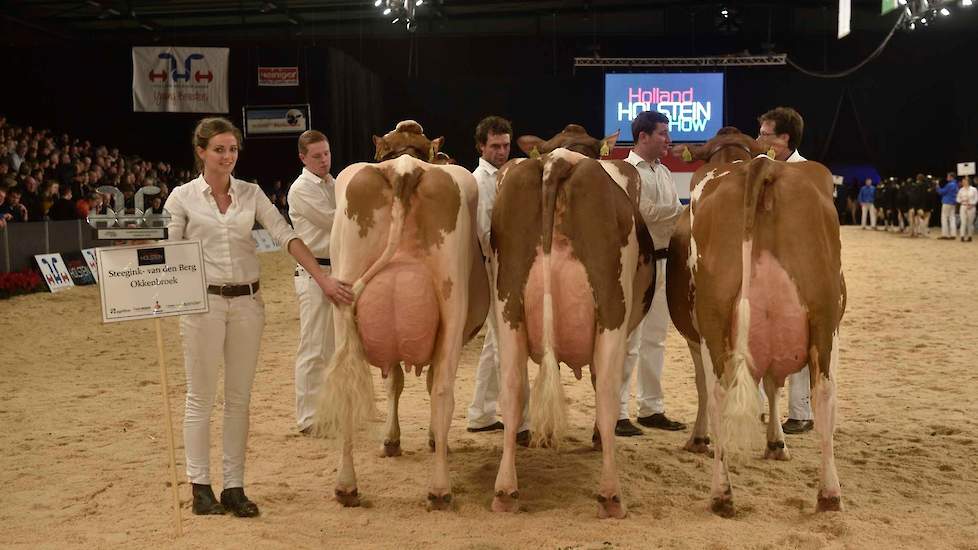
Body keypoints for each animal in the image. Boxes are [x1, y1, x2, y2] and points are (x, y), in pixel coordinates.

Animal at [314, 123, 488, 512]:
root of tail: (404, 168)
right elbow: (411, 382)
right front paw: (423, 439)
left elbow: (393, 381)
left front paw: (393, 440)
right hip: (452, 306)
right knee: (442, 389)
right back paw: (439, 489)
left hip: (342, 299)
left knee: (348, 386)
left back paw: (346, 486)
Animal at [486, 125, 652, 520]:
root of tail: (557, 160)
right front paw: (597, 438)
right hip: (611, 308)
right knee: (606, 390)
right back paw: (611, 496)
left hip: (507, 307)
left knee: (512, 389)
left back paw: (505, 490)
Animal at [668, 128, 844, 516]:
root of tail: (762, 166)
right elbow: (773, 385)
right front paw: (776, 443)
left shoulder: (696, 336)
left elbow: (703, 386)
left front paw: (699, 438)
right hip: (825, 318)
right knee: (824, 395)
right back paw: (829, 494)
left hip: (714, 319)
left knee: (718, 393)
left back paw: (722, 494)